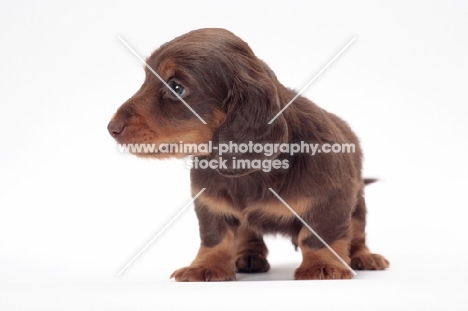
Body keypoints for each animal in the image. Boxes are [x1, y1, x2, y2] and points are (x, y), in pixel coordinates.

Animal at [108, 28, 390, 282]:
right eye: (146, 79)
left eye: (176, 87)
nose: (111, 128)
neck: (250, 172)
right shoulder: (211, 202)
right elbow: (216, 237)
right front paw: (206, 267)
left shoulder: (331, 200)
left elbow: (320, 236)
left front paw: (322, 266)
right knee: (248, 232)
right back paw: (248, 257)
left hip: (358, 203)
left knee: (357, 232)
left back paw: (365, 257)